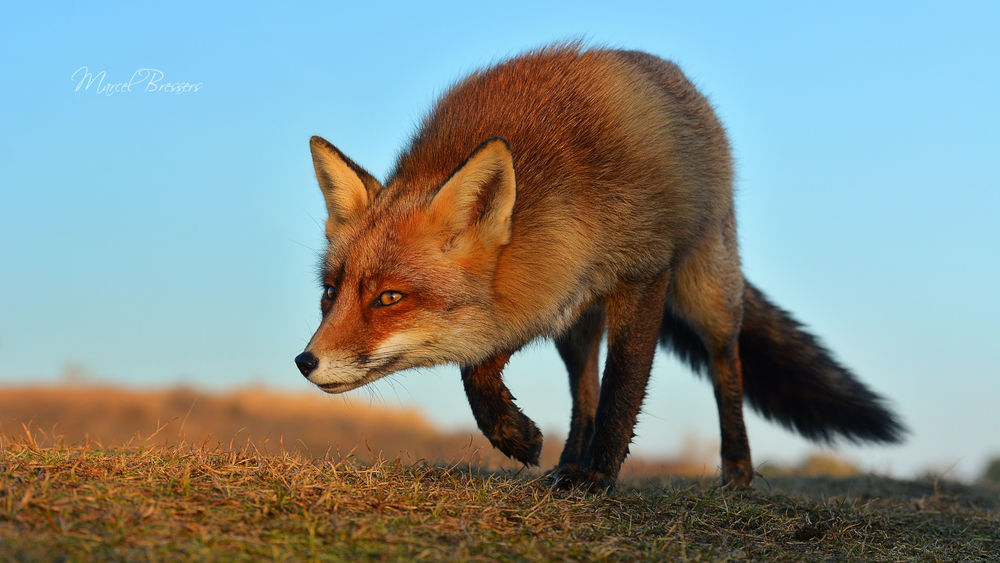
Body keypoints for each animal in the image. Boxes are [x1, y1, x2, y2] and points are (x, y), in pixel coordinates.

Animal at [294, 44, 904, 489]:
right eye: (329, 292)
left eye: (389, 297)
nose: (305, 361)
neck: (570, 206)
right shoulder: (545, 288)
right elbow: (482, 372)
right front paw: (516, 437)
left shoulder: (640, 276)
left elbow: (623, 389)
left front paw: (600, 479)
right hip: (577, 323)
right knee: (581, 389)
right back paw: (567, 463)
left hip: (707, 289)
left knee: (725, 364)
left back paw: (735, 471)